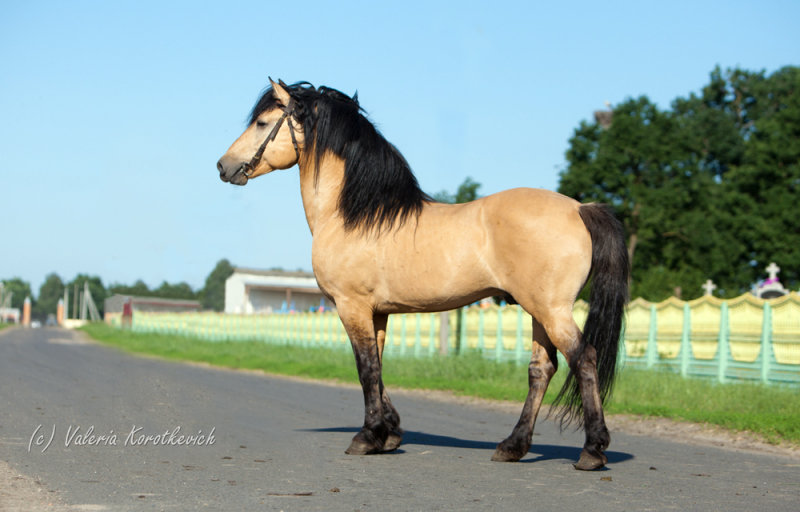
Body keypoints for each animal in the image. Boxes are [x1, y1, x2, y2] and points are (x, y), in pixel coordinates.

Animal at [219, 81, 632, 472]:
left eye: (261, 123)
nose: (223, 167)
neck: (355, 215)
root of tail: (579, 208)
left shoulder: (352, 307)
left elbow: (365, 368)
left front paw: (367, 437)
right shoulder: (378, 313)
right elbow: (378, 367)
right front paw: (389, 434)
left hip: (551, 310)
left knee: (584, 358)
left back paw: (592, 451)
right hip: (538, 312)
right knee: (541, 370)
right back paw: (512, 447)